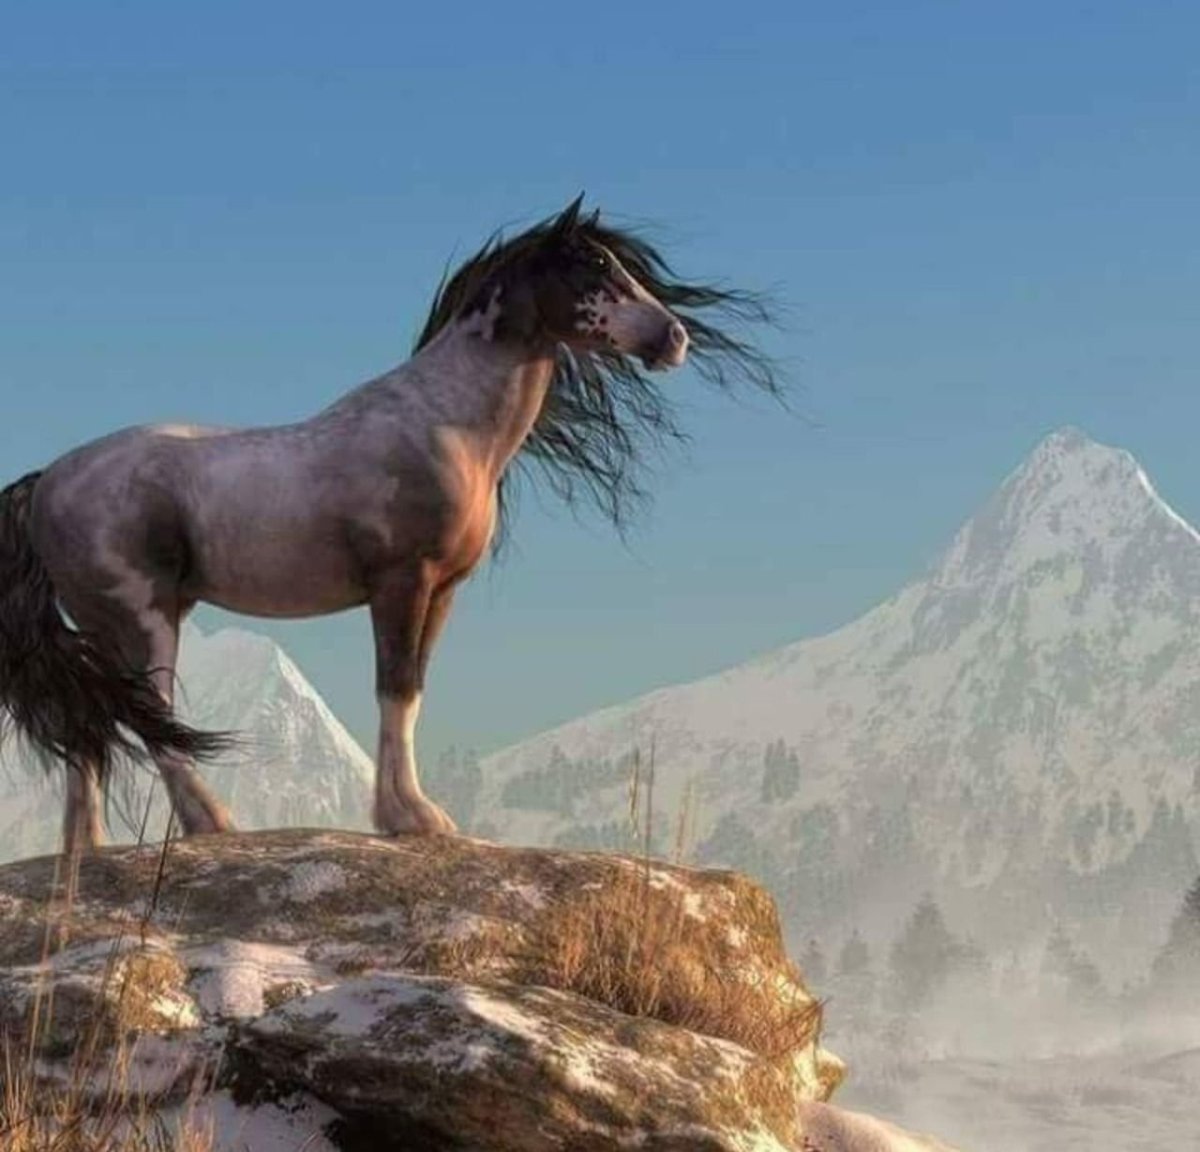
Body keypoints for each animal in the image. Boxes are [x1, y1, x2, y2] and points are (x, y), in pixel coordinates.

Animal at [0, 196, 781, 857]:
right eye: (593, 268)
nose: (673, 337)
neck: (442, 422)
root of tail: (50, 480)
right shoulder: (403, 582)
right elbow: (395, 688)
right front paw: (412, 819)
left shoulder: (442, 592)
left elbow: (412, 696)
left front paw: (411, 814)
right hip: (144, 618)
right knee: (149, 719)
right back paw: (213, 824)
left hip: (107, 627)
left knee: (89, 726)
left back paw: (87, 849)